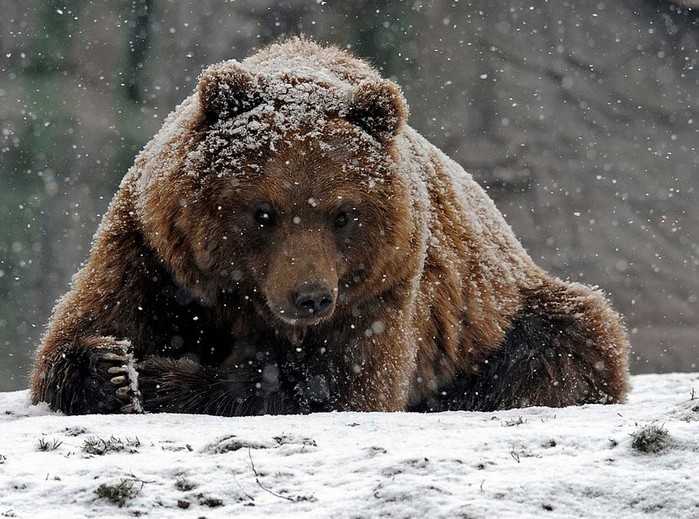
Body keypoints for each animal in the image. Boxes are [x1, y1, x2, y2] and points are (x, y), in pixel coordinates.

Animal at [28, 38, 628, 416]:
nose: (311, 296)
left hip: (499, 314)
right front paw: (113, 370)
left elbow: (338, 383)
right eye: (263, 212)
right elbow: (82, 329)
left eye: (343, 213)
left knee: (572, 335)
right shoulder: (153, 251)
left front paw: (162, 380)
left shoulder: (385, 284)